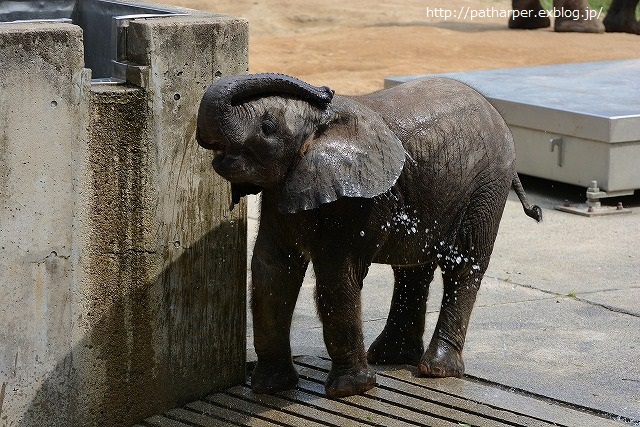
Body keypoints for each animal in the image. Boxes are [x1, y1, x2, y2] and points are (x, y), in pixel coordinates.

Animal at [195, 72, 540, 398]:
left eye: (267, 128)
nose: (326, 90)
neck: (321, 125)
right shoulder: (281, 191)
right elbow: (271, 272)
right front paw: (270, 387)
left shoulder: (358, 201)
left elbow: (336, 278)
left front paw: (350, 390)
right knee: (413, 268)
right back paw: (390, 357)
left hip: (487, 188)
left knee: (464, 266)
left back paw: (436, 369)